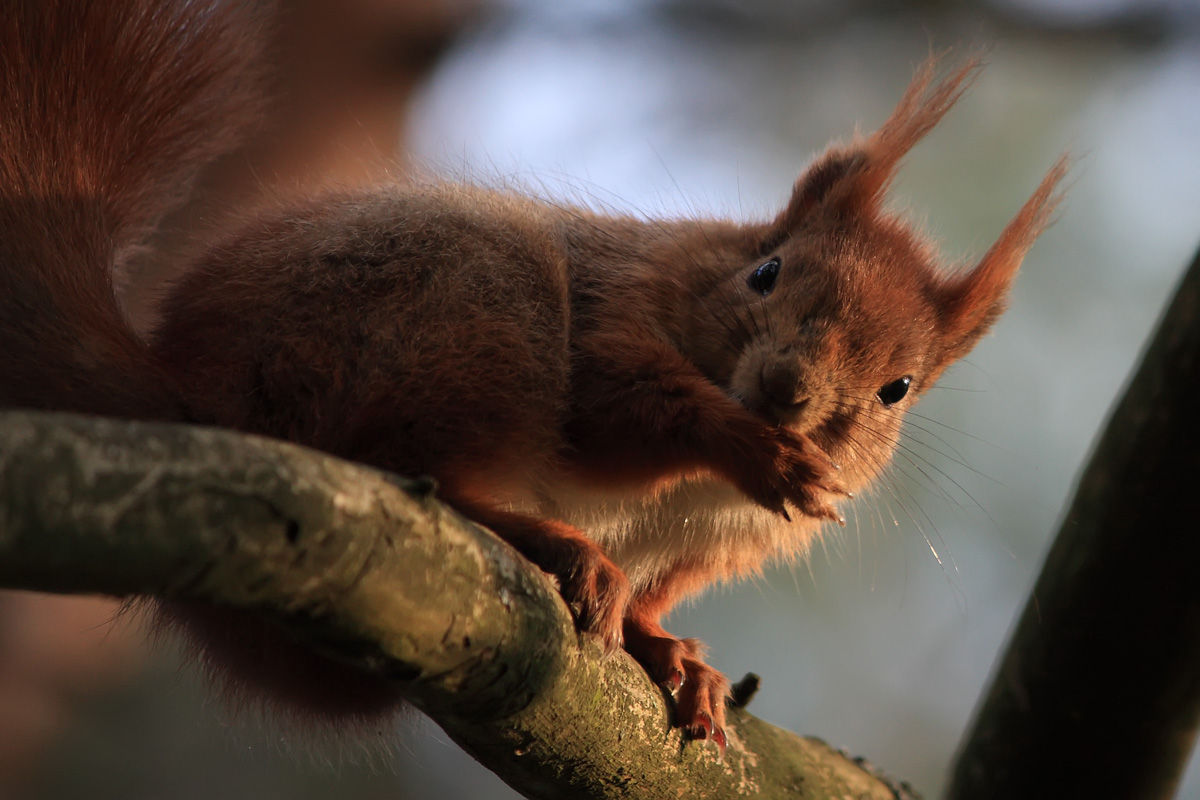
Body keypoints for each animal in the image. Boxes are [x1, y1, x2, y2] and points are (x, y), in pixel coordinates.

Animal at [2, 1, 1070, 753]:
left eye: (898, 390)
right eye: (765, 272)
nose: (790, 394)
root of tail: (195, 390)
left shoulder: (714, 547)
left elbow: (662, 596)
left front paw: (671, 653)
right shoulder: (609, 311)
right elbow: (618, 408)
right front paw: (749, 448)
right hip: (480, 307)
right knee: (426, 474)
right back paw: (552, 542)